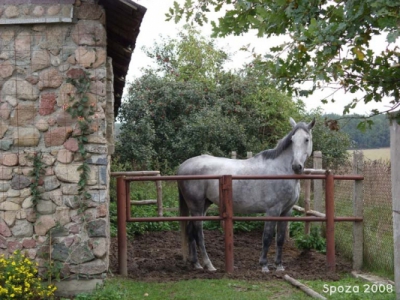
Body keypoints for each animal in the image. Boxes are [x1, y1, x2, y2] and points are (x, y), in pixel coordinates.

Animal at [177, 117, 312, 272]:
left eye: (307, 139)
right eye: (293, 140)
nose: (296, 166)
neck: (281, 170)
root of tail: (182, 167)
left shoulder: (286, 211)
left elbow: (280, 239)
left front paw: (279, 265)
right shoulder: (273, 210)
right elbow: (267, 237)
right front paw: (264, 265)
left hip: (203, 205)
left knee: (190, 231)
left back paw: (196, 263)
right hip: (197, 206)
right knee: (198, 233)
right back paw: (209, 265)